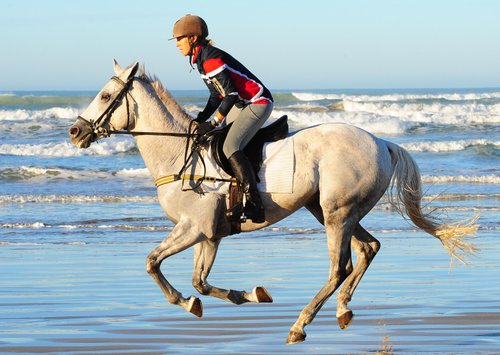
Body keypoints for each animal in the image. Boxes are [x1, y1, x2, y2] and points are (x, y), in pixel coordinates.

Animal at [67, 60, 476, 344]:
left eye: (106, 96)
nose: (75, 131)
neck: (178, 157)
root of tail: (382, 142)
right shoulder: (209, 235)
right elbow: (201, 282)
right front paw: (247, 295)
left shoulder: (193, 228)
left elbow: (153, 263)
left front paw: (187, 302)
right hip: (329, 210)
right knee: (369, 248)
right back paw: (342, 310)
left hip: (337, 213)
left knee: (340, 266)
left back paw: (300, 325)